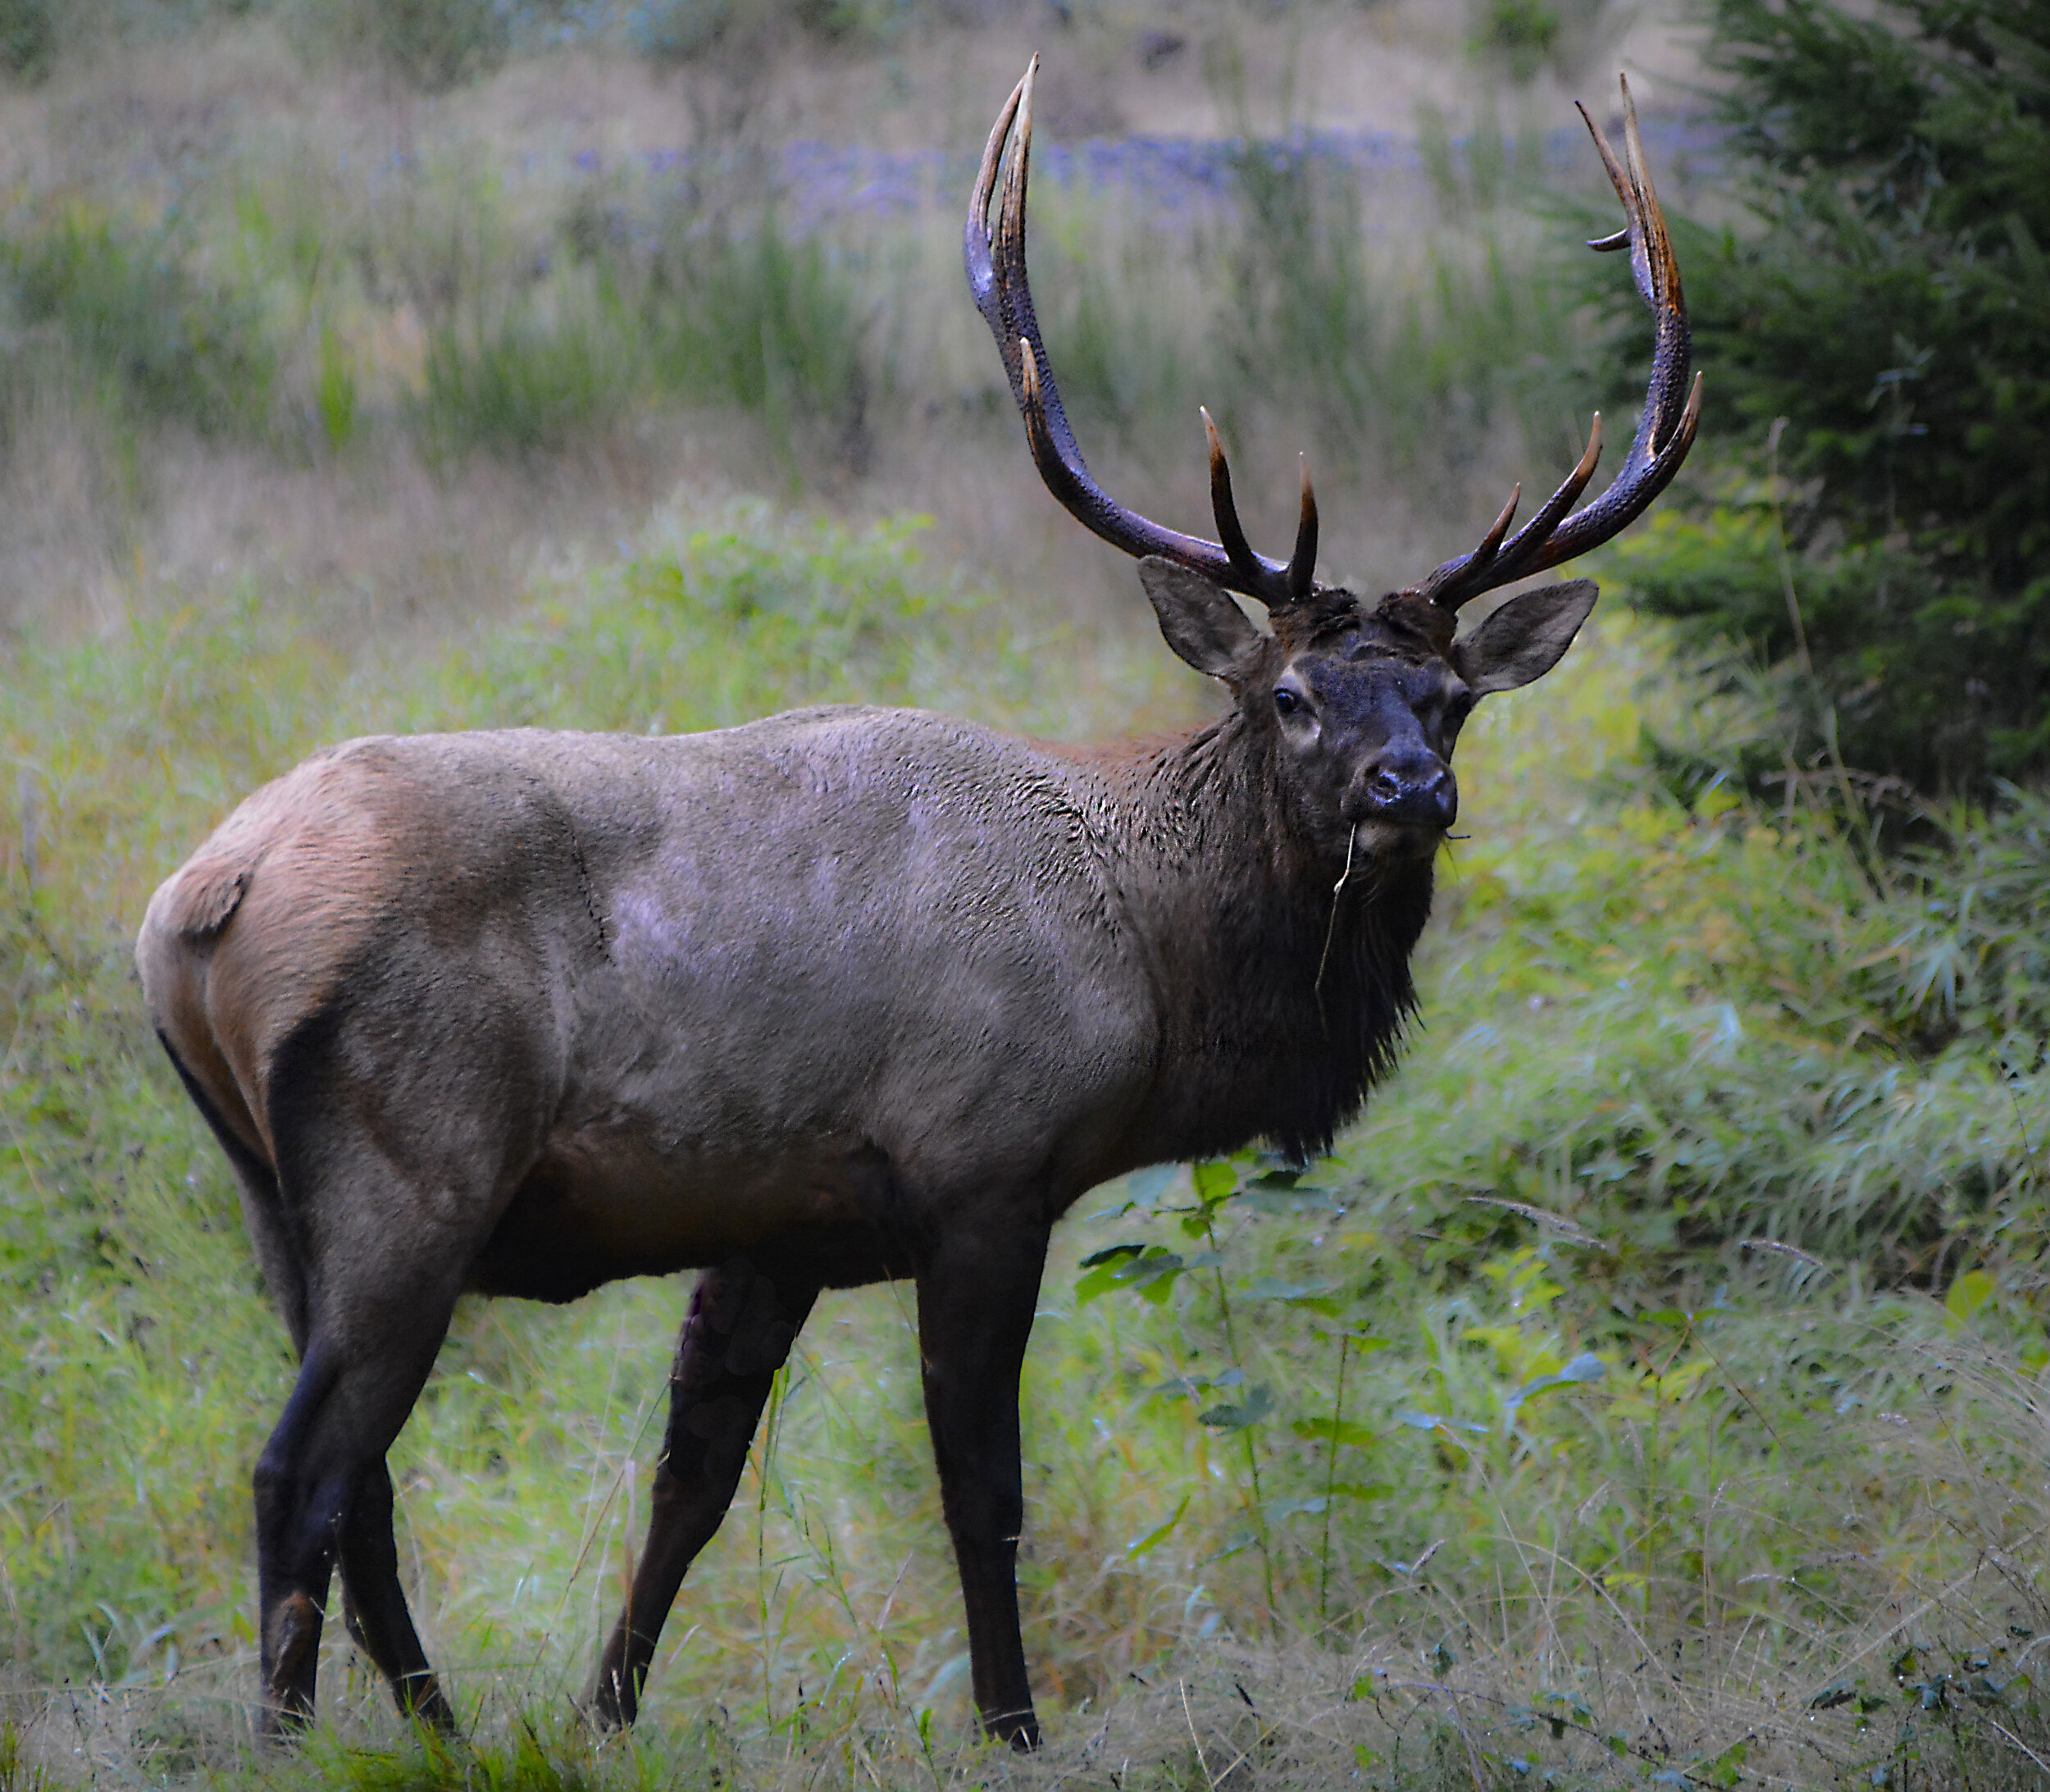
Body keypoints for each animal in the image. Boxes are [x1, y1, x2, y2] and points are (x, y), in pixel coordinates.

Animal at [132, 66, 1697, 1747]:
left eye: (1450, 699)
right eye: (1289, 697)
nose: (1409, 791)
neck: (1151, 965)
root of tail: (196, 905)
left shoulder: (777, 1226)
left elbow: (693, 1484)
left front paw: (606, 1715)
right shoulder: (986, 1170)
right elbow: (982, 1494)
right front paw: (1014, 1727)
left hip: (269, 1196)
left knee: (356, 1480)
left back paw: (440, 1728)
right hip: (412, 1165)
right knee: (301, 1466)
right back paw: (298, 1739)